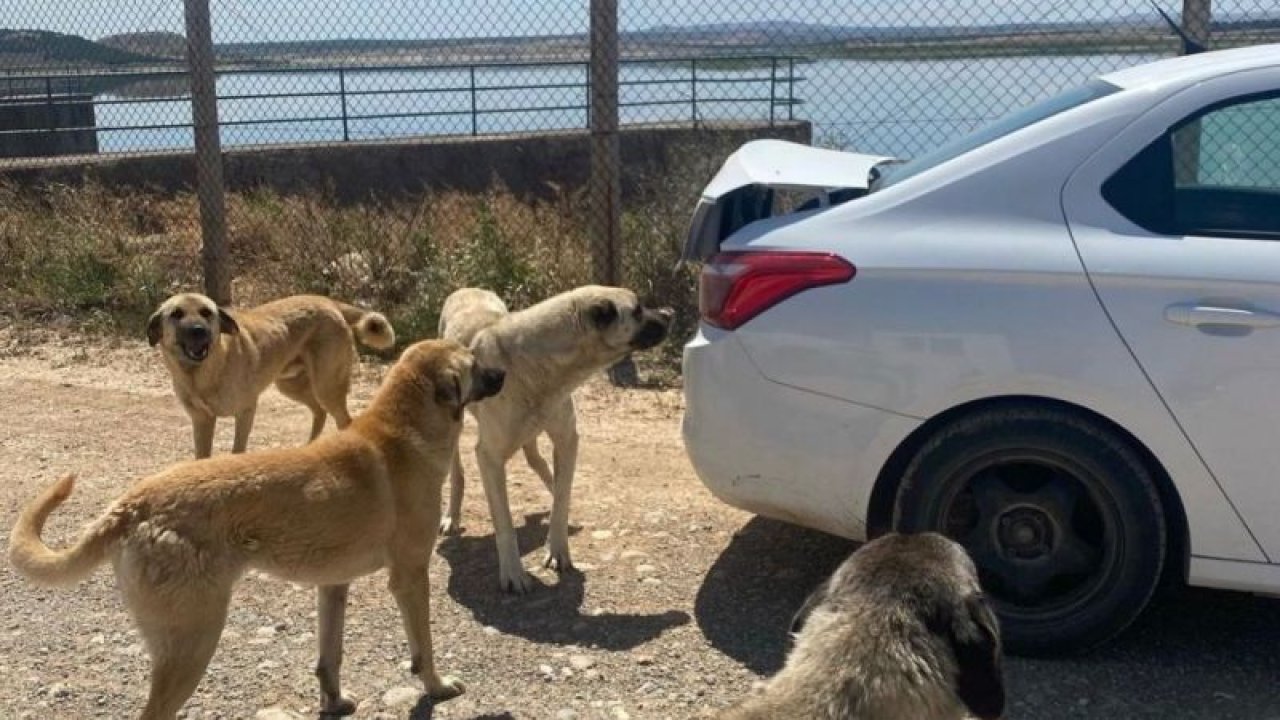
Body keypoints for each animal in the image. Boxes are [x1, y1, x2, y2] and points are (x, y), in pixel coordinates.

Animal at [8, 338, 504, 717]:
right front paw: (437, 687)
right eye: (474, 362)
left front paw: (335, 702)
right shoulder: (410, 578)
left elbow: (329, 660)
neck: (400, 429)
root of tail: (130, 507)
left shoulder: (333, 585)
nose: (502, 372)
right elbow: (424, 650)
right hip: (194, 641)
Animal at [146, 289, 394, 453]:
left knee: (344, 420)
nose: (198, 331)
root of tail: (327, 301)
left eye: (207, 312)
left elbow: (237, 451)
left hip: (327, 387)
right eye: (176, 314)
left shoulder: (245, 411)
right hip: (290, 385)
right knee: (319, 412)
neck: (202, 374)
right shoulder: (202, 421)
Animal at [440, 283, 675, 591]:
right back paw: (451, 516)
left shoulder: (567, 440)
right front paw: (513, 572)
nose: (670, 313)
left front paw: (557, 549)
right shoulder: (489, 457)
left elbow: (562, 498)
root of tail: (467, 288)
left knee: (536, 460)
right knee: (458, 472)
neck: (536, 366)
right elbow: (504, 523)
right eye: (637, 310)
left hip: (532, 434)